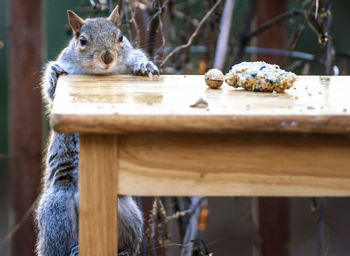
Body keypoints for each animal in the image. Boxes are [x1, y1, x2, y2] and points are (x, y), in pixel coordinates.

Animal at [35, 5, 159, 255]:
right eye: (82, 40)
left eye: (120, 37)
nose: (108, 57)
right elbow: (51, 94)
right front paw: (54, 73)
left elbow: (137, 59)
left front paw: (144, 66)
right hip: (56, 210)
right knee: (58, 245)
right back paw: (73, 249)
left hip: (127, 211)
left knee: (127, 243)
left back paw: (123, 251)